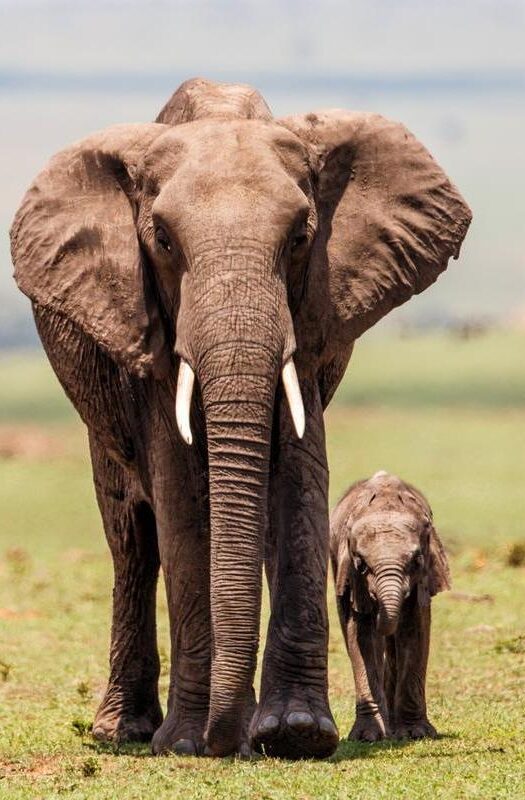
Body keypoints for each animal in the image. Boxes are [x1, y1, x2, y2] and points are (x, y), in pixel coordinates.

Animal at [330, 472, 448, 740]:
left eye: (417, 560)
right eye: (361, 564)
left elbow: (414, 631)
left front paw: (416, 733)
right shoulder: (351, 576)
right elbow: (361, 635)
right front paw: (368, 737)